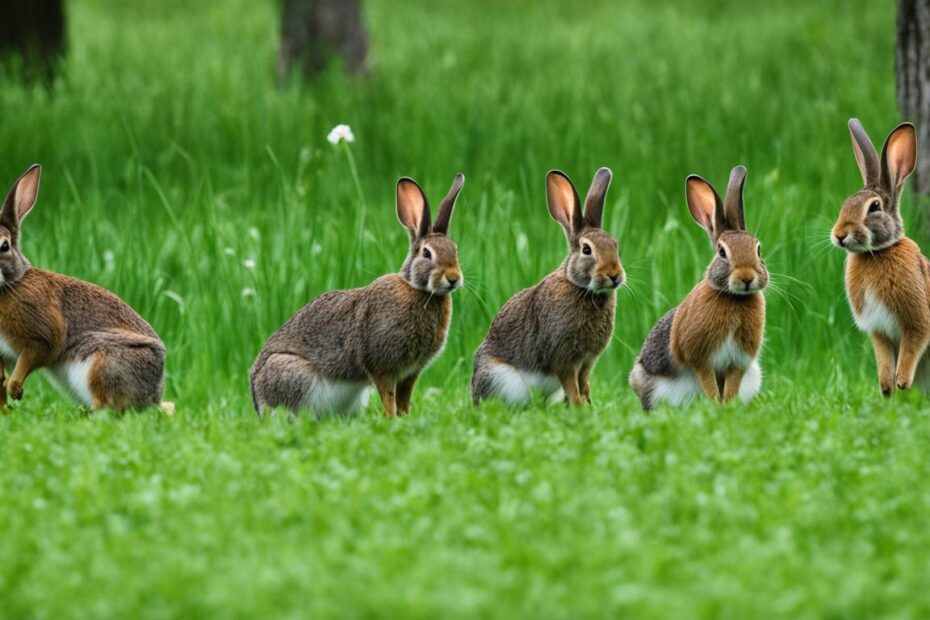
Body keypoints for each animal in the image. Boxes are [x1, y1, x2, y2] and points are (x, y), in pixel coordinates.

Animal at [0, 165, 167, 411]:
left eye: (4, 246)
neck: (12, 283)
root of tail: (153, 396)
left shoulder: (39, 337)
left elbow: (34, 356)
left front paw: (16, 390)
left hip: (101, 361)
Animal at [250, 174, 465, 417]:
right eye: (427, 254)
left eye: (455, 250)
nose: (454, 278)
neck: (419, 290)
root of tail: (256, 395)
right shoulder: (381, 365)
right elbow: (388, 396)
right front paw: (391, 418)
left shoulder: (411, 372)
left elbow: (404, 399)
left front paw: (404, 417)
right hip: (293, 376)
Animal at [471, 167, 623, 407]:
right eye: (586, 250)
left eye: (615, 245)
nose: (615, 276)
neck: (580, 288)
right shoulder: (564, 357)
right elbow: (571, 385)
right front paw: (579, 407)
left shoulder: (587, 361)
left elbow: (584, 384)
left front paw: (588, 405)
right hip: (500, 378)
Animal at [629, 166, 767, 410]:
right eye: (722, 252)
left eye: (758, 250)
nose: (746, 278)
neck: (734, 298)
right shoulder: (700, 357)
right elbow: (708, 380)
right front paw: (715, 405)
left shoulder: (738, 362)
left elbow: (731, 385)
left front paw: (726, 407)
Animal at [832, 119, 930, 396]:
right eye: (845, 205)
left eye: (874, 207)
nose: (839, 235)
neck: (878, 252)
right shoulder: (879, 331)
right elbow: (884, 357)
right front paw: (886, 388)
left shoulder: (916, 321)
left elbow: (912, 347)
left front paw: (902, 382)